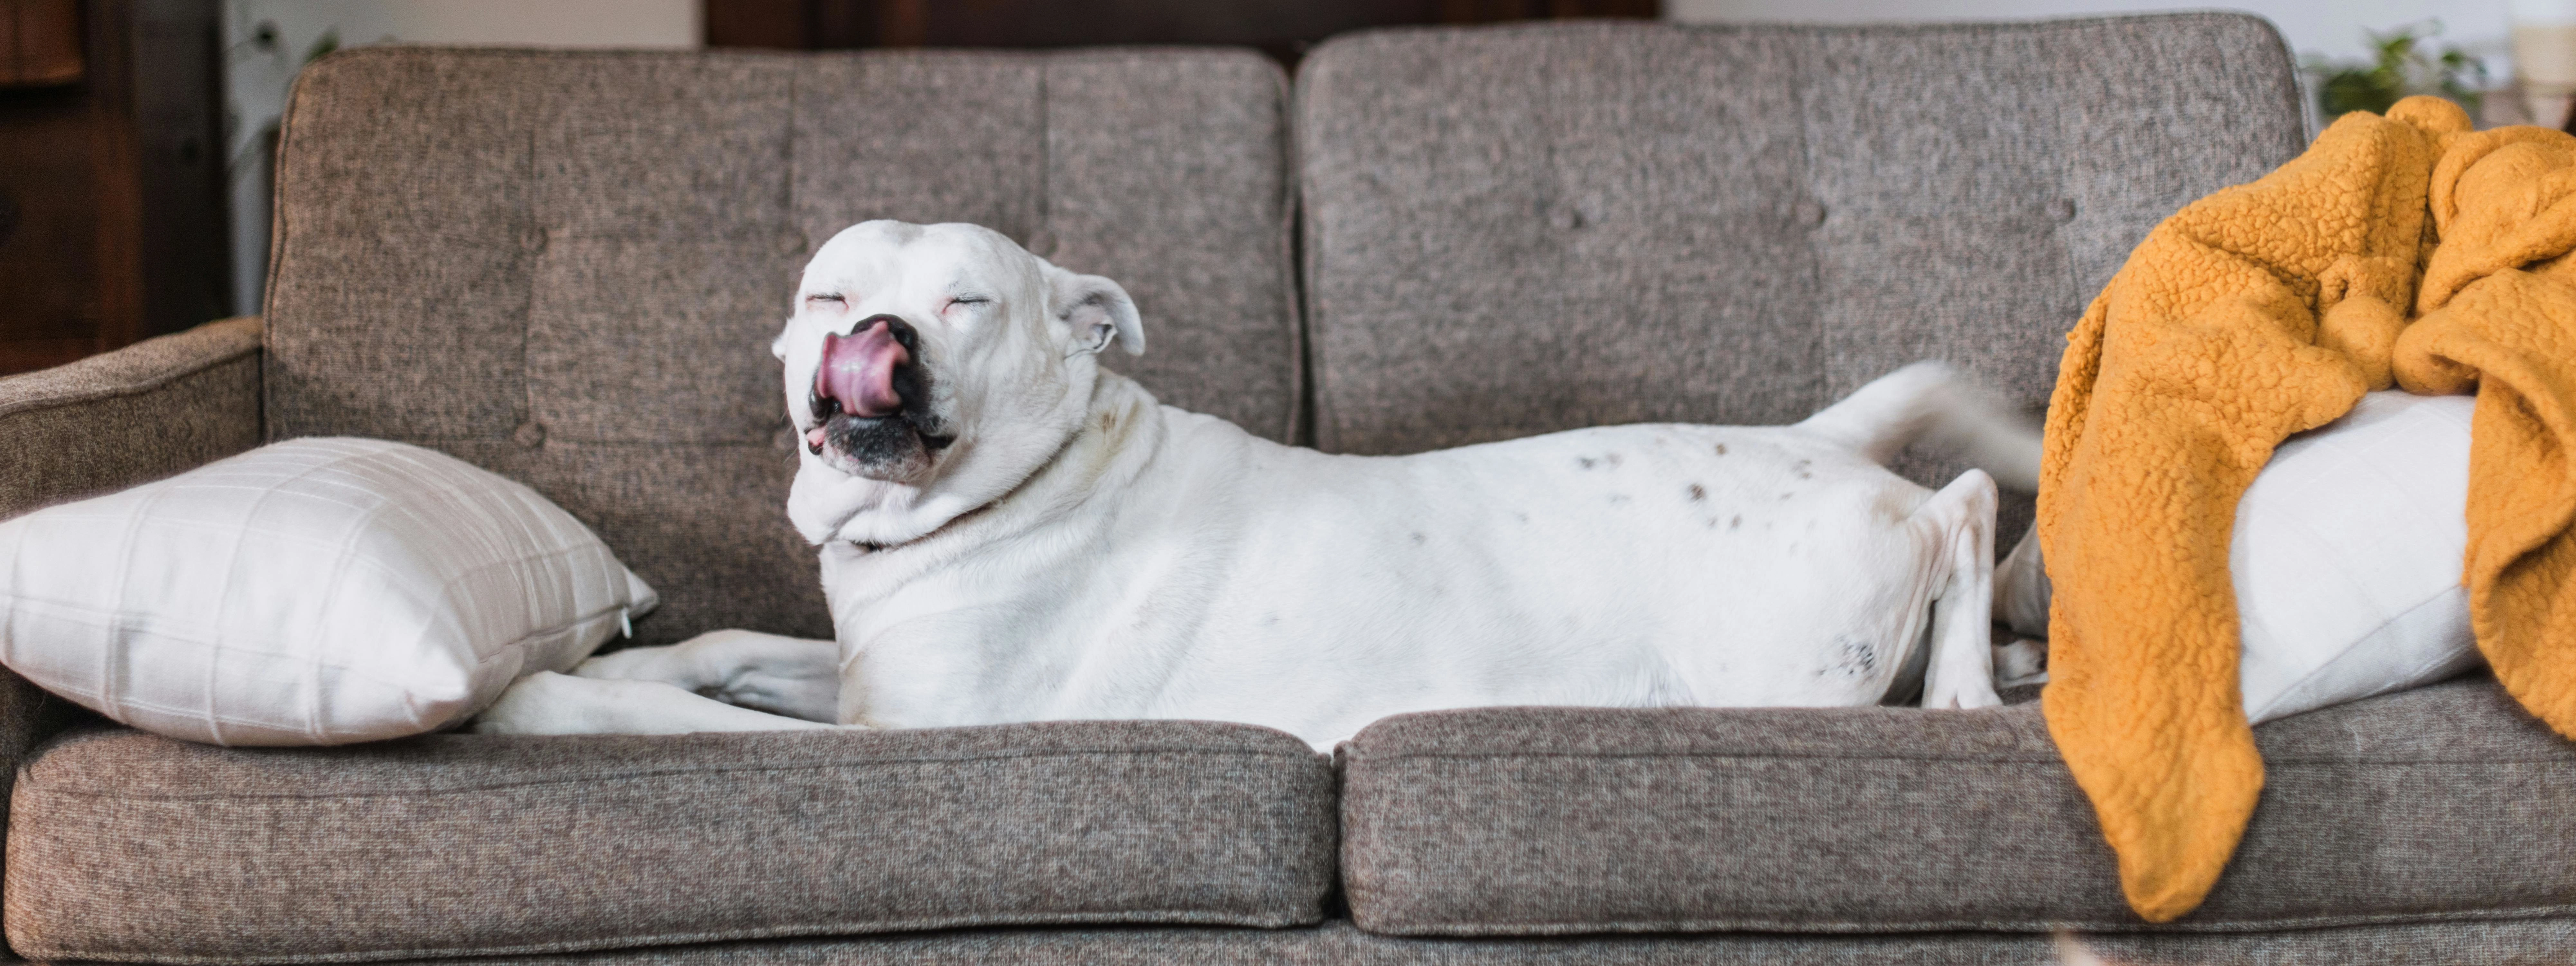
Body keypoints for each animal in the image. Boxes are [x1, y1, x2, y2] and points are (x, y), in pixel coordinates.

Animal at [479, 221, 2050, 747]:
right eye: (829, 291)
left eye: (969, 301)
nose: (877, 338)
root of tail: (1820, 437)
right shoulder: (859, 671)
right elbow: (729, 649)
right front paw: (630, 653)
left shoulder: (896, 737)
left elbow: (684, 726)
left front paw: (549, 698)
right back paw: (2010, 663)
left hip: (1779, 652)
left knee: (1964, 508)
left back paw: (1970, 679)